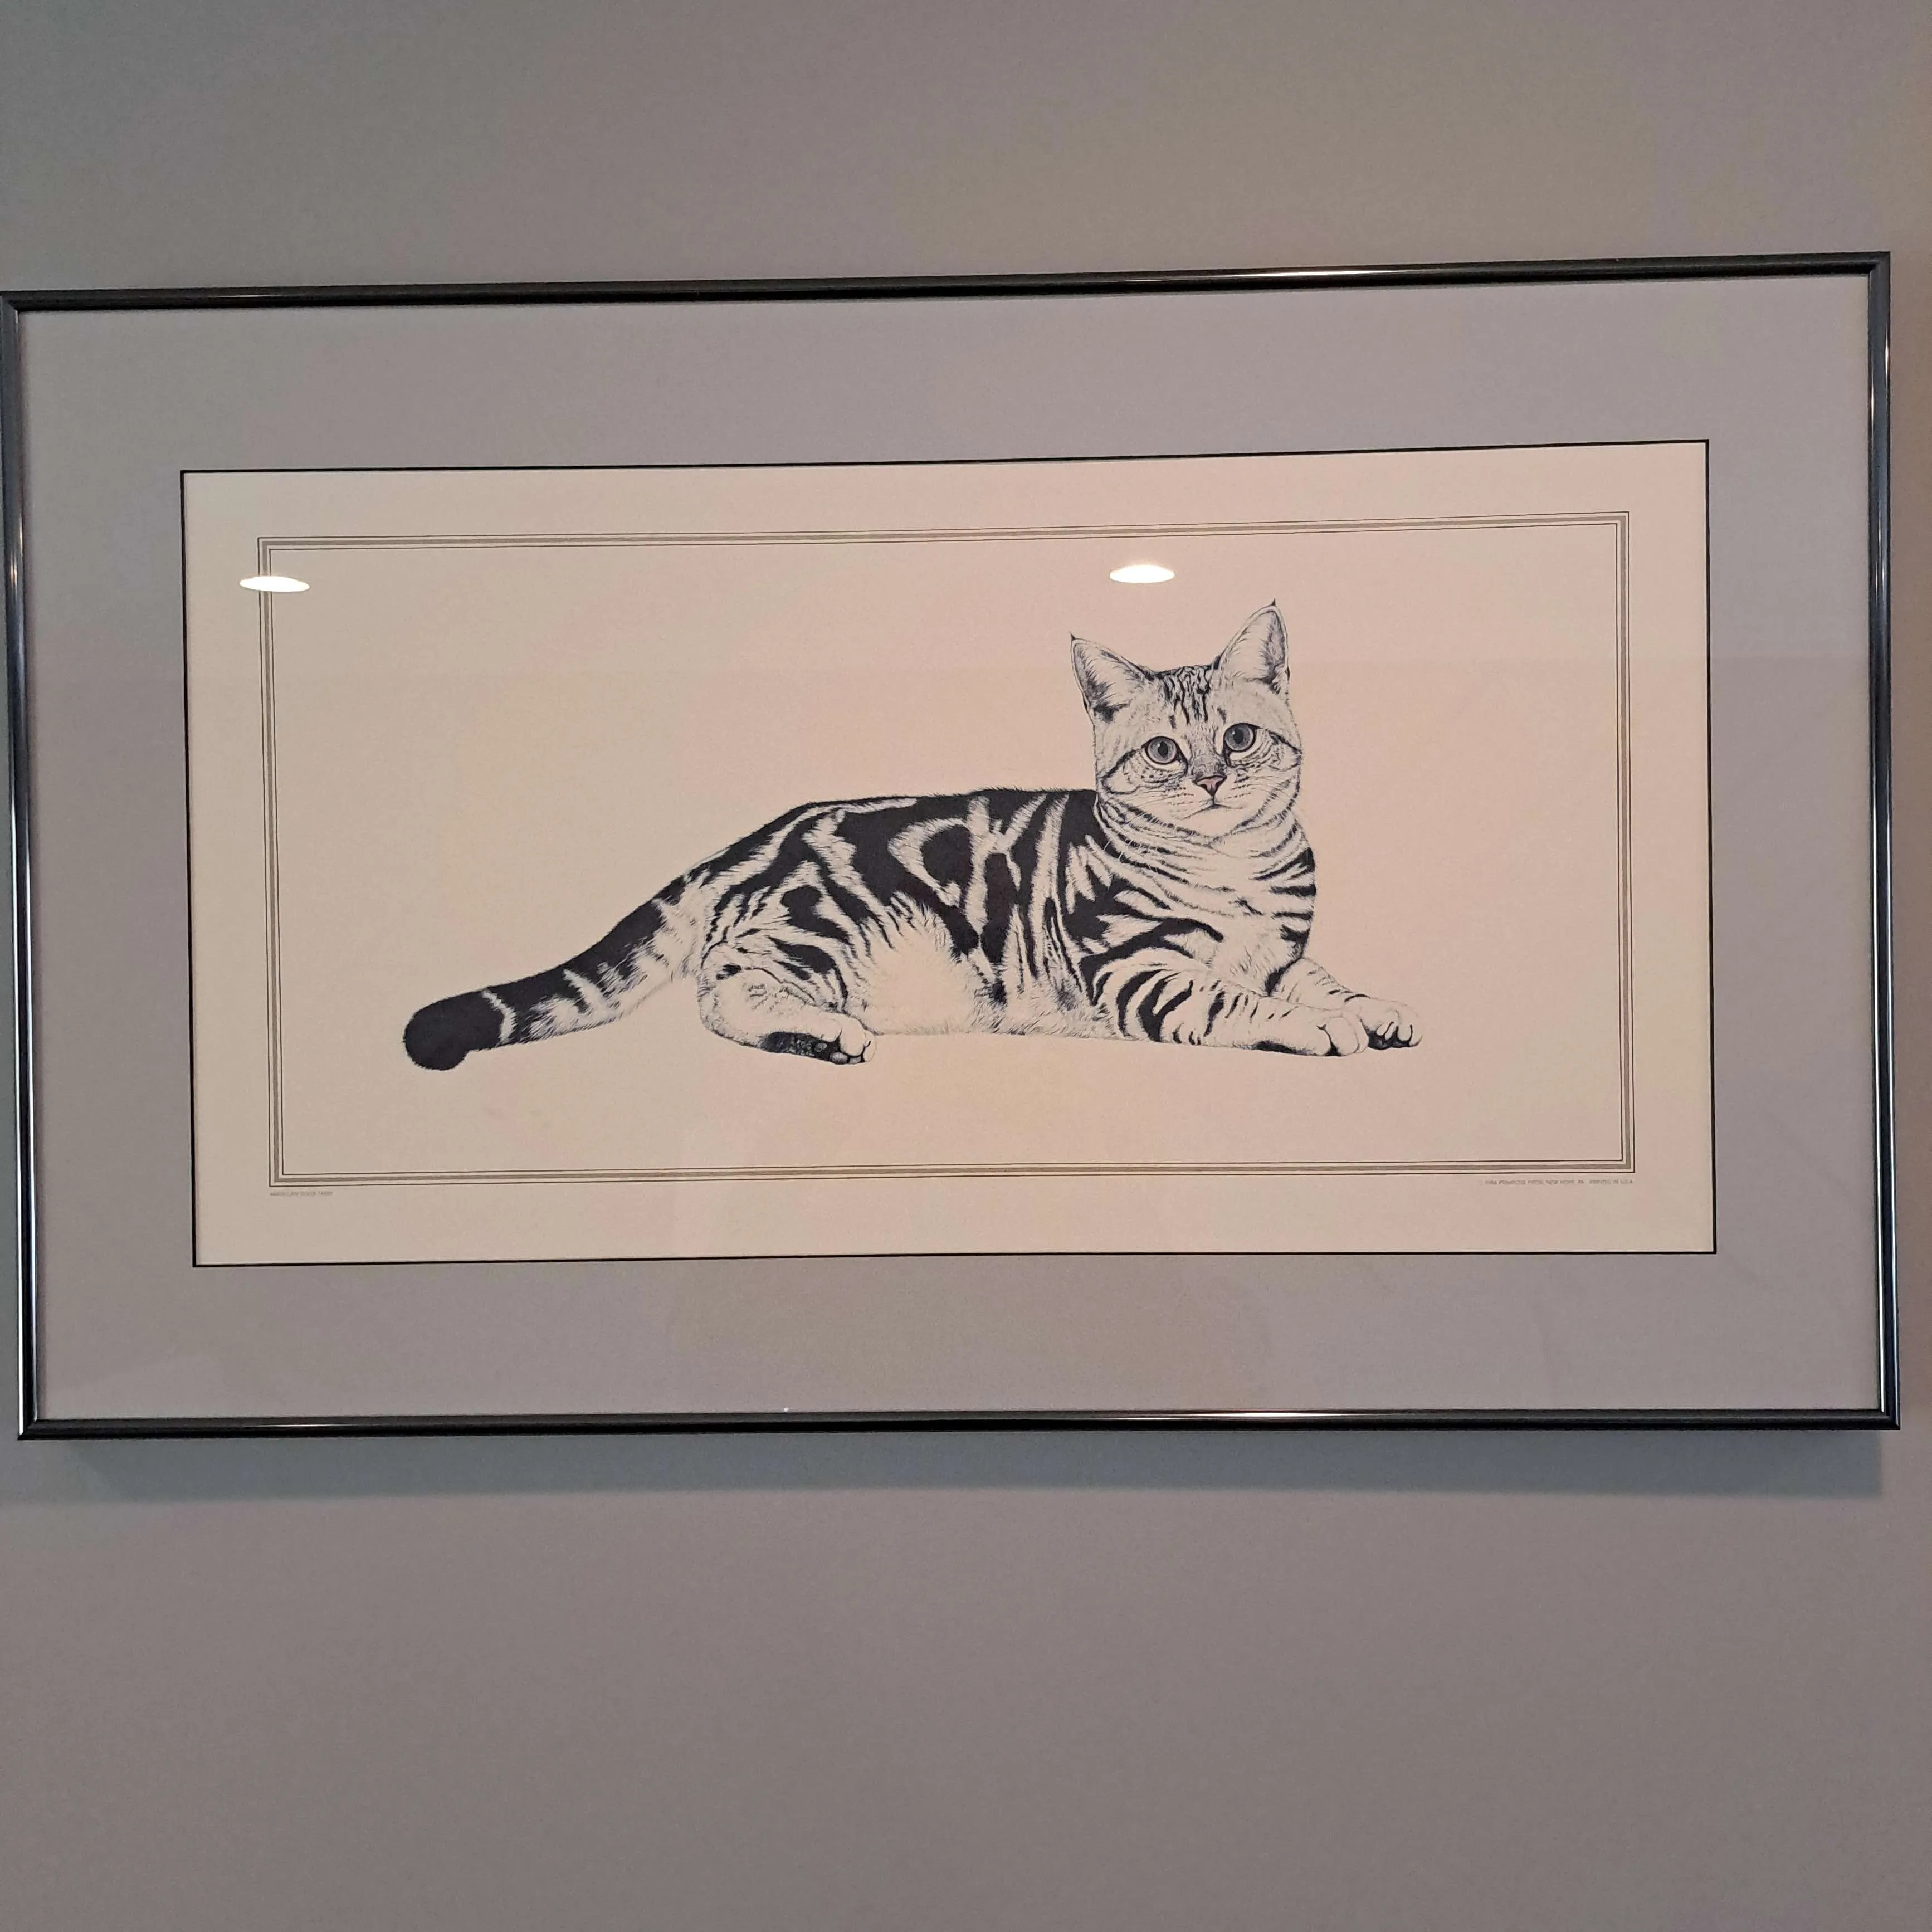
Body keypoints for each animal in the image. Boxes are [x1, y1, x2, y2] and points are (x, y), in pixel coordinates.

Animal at [403, 604, 1419, 1071]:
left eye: (1238, 738)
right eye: (1166, 750)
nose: (1210, 779)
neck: (1237, 869)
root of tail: (757, 836)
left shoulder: (1285, 951)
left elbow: (1320, 979)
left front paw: (1372, 1006)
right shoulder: (1143, 970)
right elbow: (1236, 999)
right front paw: (1315, 1027)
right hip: (816, 927)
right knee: (722, 990)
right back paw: (827, 1033)